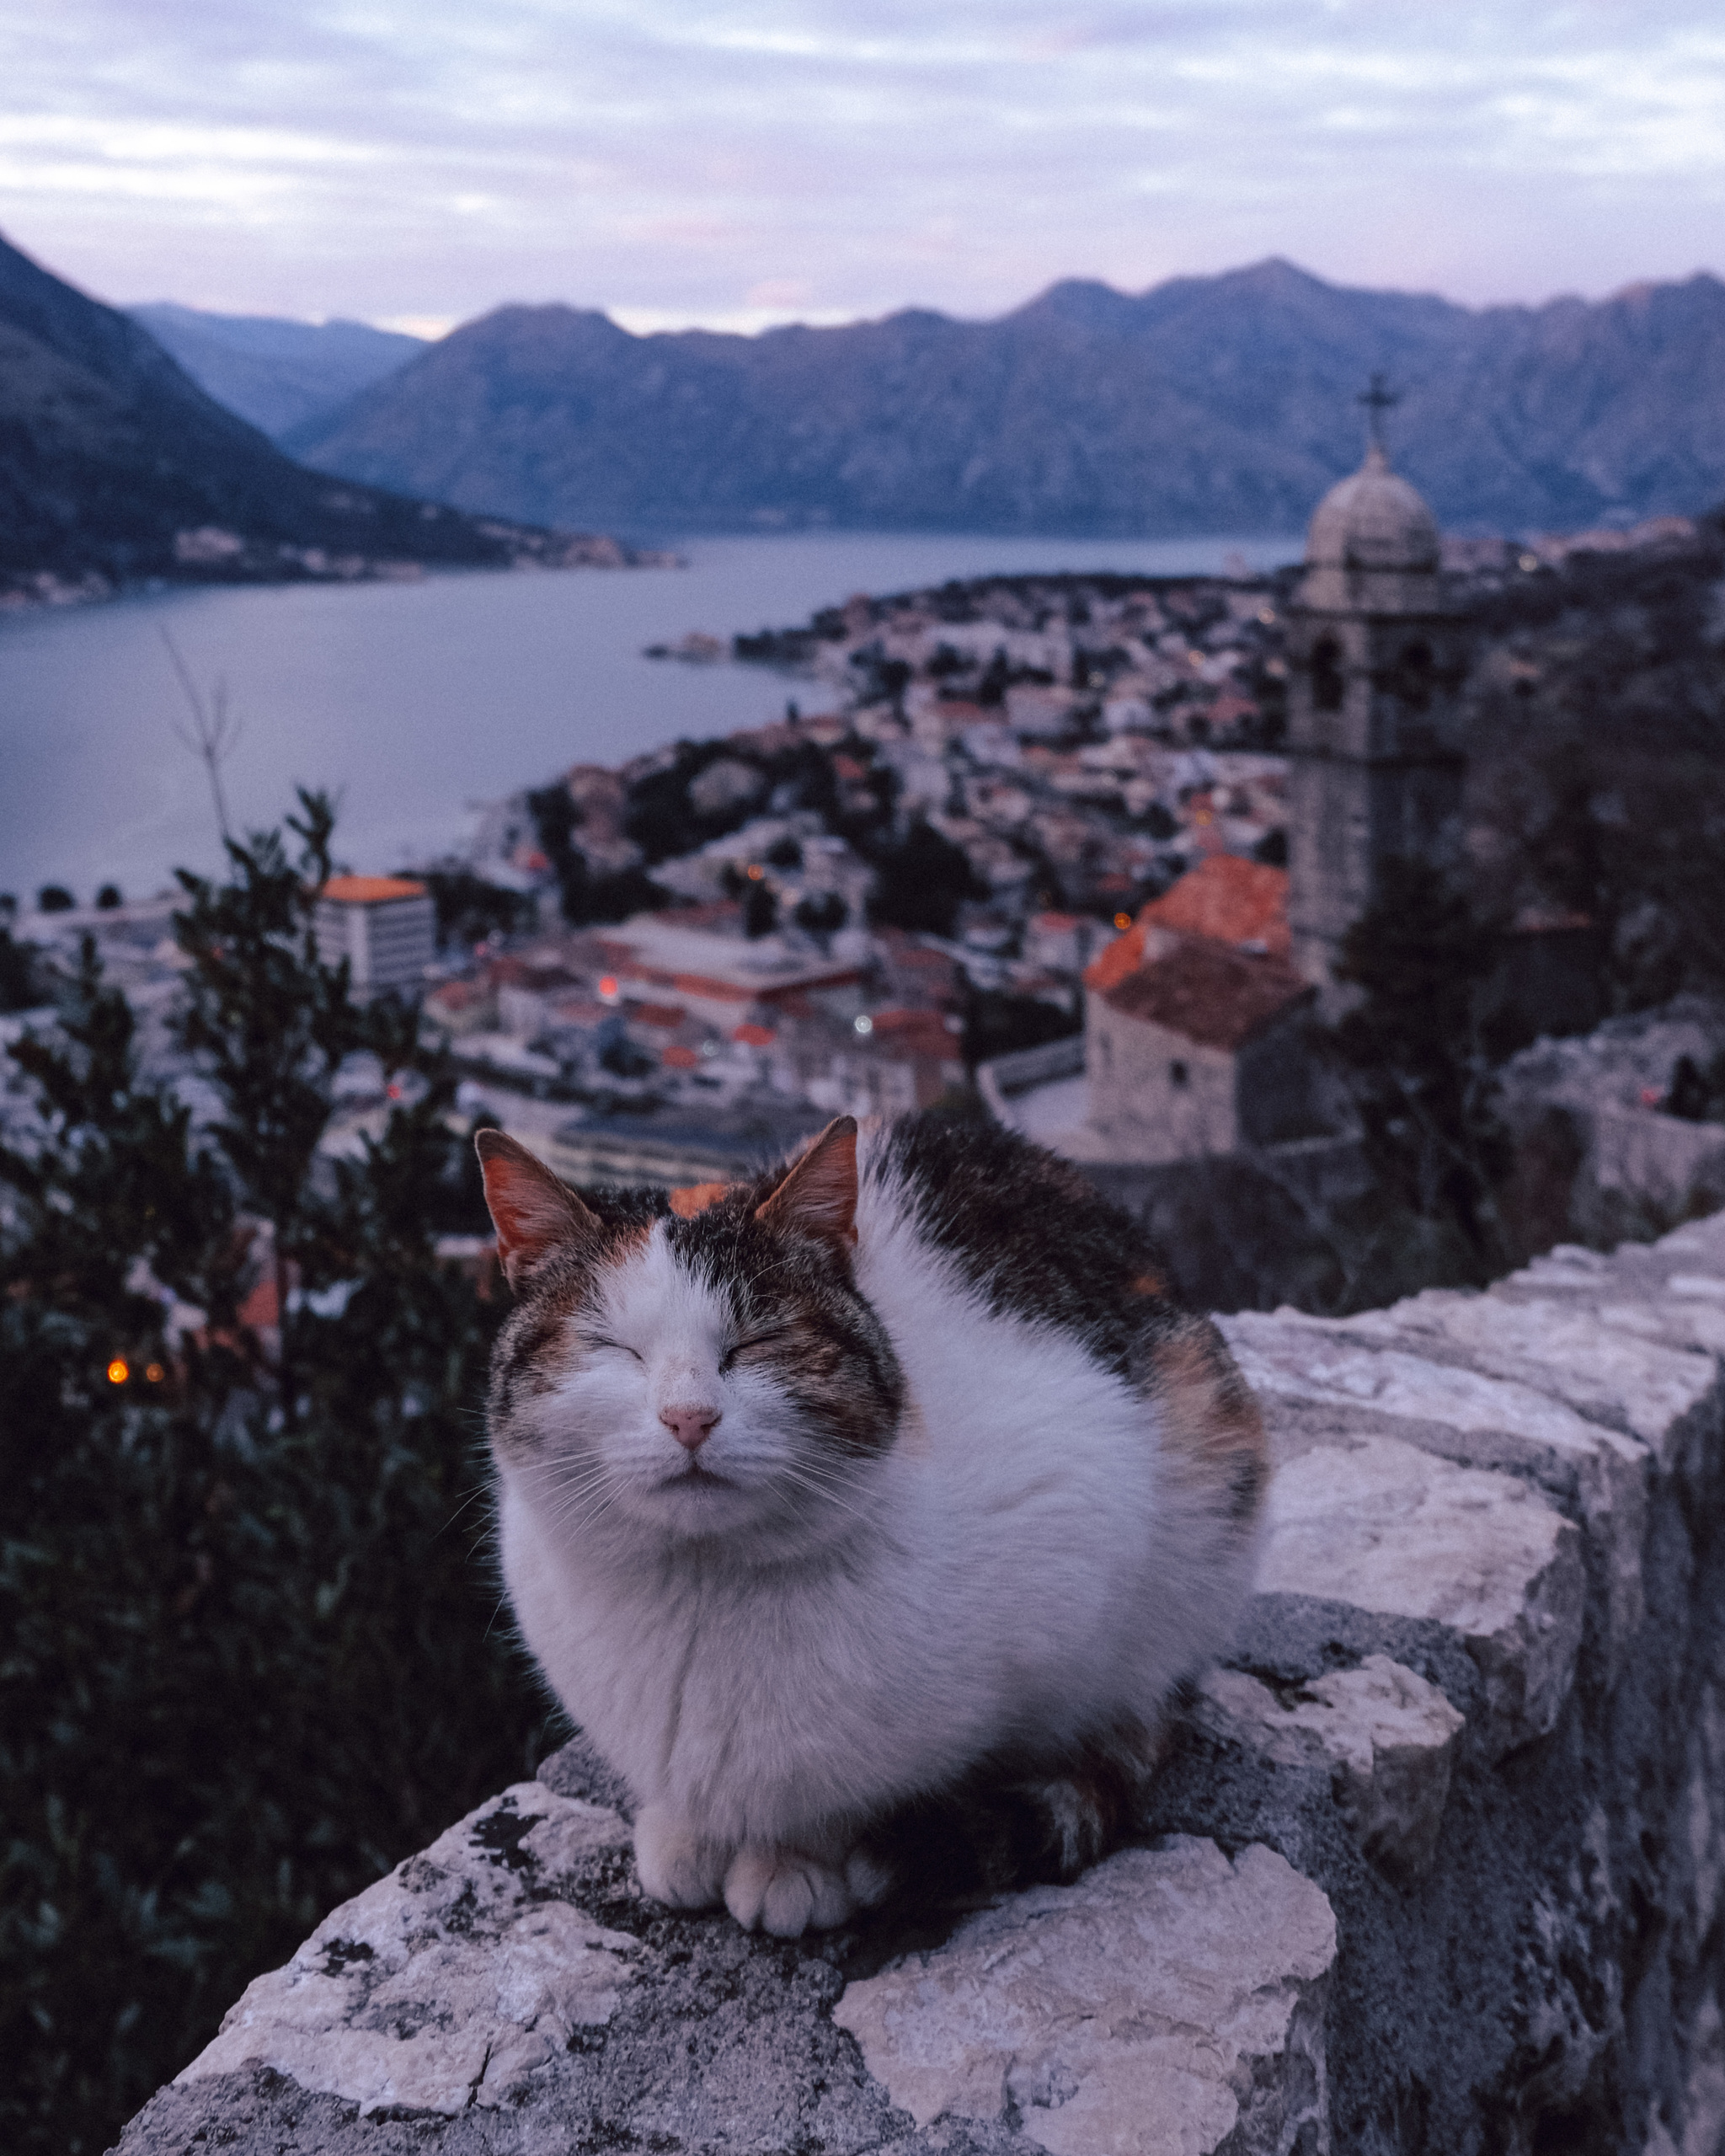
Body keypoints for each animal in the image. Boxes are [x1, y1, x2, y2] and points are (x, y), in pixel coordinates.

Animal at [472, 1112, 1268, 1940]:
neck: (700, 1586)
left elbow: (861, 1788)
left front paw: (797, 1861)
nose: (689, 1417)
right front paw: (687, 1832)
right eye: (613, 1347)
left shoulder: (1081, 1497)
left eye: (759, 1341)